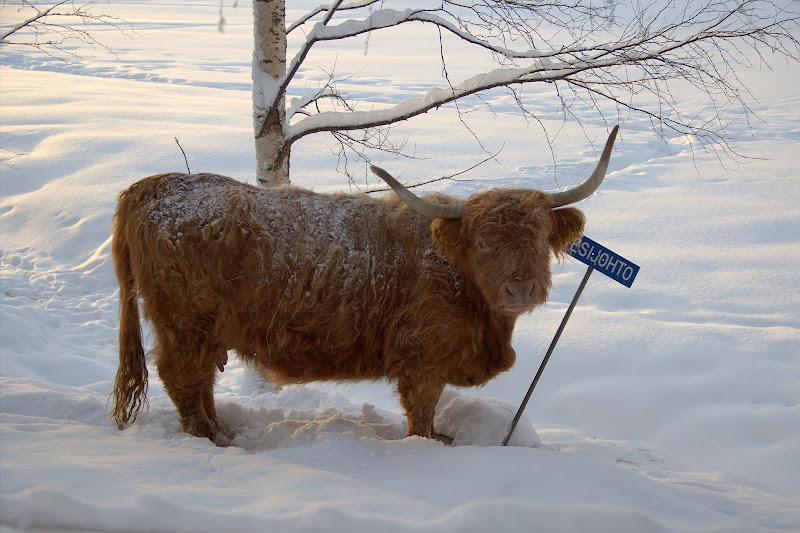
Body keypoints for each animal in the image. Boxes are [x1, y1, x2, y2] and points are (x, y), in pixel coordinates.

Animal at [109, 125, 620, 444]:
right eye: (482, 243)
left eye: (537, 237)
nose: (520, 289)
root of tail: (151, 185)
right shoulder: (423, 362)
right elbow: (421, 416)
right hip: (184, 323)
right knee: (182, 379)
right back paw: (213, 440)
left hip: (204, 332)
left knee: (201, 385)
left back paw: (223, 431)